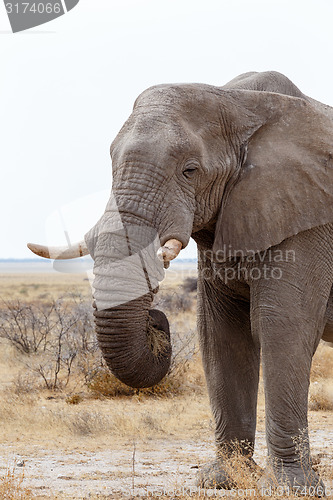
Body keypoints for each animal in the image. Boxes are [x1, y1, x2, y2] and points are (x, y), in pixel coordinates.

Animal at [28, 72, 332, 494]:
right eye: (111, 163)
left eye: (190, 170)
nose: (156, 319)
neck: (240, 103)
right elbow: (221, 333)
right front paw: (224, 479)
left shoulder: (307, 217)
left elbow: (282, 326)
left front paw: (293, 488)